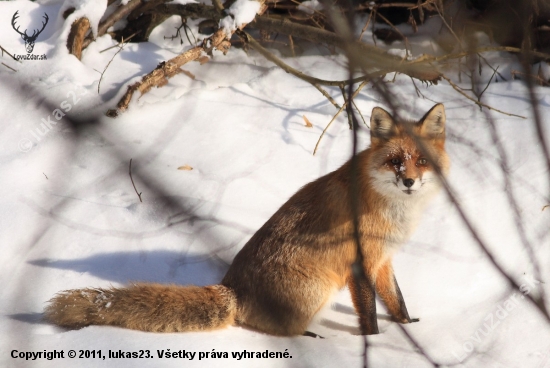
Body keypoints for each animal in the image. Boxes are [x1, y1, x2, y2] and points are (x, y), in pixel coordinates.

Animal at [43, 103, 448, 336]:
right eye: (395, 162)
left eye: (421, 161)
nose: (409, 181)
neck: (392, 210)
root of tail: (232, 289)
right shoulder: (360, 263)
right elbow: (370, 316)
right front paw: (375, 343)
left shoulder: (384, 259)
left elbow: (396, 300)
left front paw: (408, 327)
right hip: (316, 292)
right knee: (269, 328)